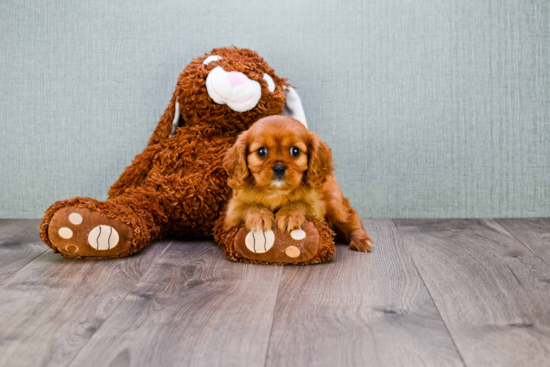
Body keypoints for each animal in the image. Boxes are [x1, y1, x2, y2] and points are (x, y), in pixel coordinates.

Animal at [224, 115, 376, 253]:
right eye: (261, 151)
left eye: (295, 151)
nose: (279, 168)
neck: (276, 191)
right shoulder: (233, 211)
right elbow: (250, 205)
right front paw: (259, 216)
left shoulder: (315, 208)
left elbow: (299, 202)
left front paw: (289, 215)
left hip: (335, 205)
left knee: (352, 220)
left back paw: (362, 240)